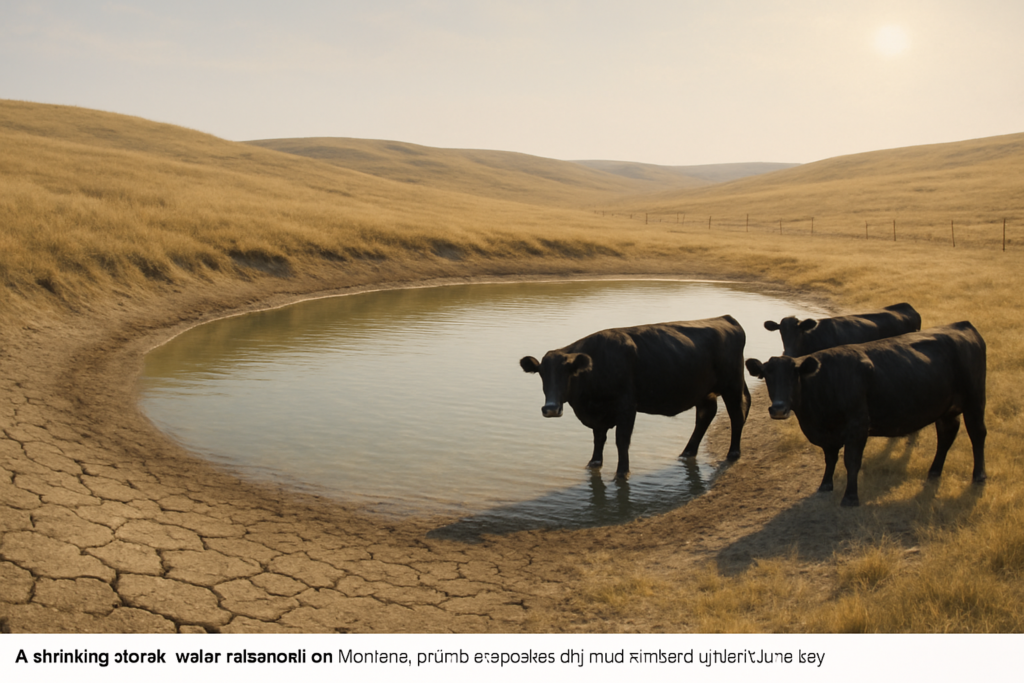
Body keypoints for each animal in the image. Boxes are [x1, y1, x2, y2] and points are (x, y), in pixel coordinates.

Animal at [519, 315, 750, 479]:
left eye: (568, 372)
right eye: (541, 373)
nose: (551, 408)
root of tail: (724, 318)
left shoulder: (627, 406)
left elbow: (621, 440)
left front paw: (622, 472)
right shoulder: (598, 414)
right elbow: (598, 438)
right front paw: (594, 462)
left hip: (732, 384)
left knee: (736, 415)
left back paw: (733, 453)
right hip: (704, 391)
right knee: (705, 415)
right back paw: (687, 452)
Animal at [745, 321, 987, 507]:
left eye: (794, 375)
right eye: (767, 376)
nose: (778, 408)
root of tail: (961, 325)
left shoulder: (858, 425)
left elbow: (852, 461)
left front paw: (851, 497)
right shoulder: (826, 433)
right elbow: (830, 458)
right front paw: (825, 484)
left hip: (975, 400)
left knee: (977, 434)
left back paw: (979, 476)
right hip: (947, 408)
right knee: (946, 435)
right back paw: (934, 471)